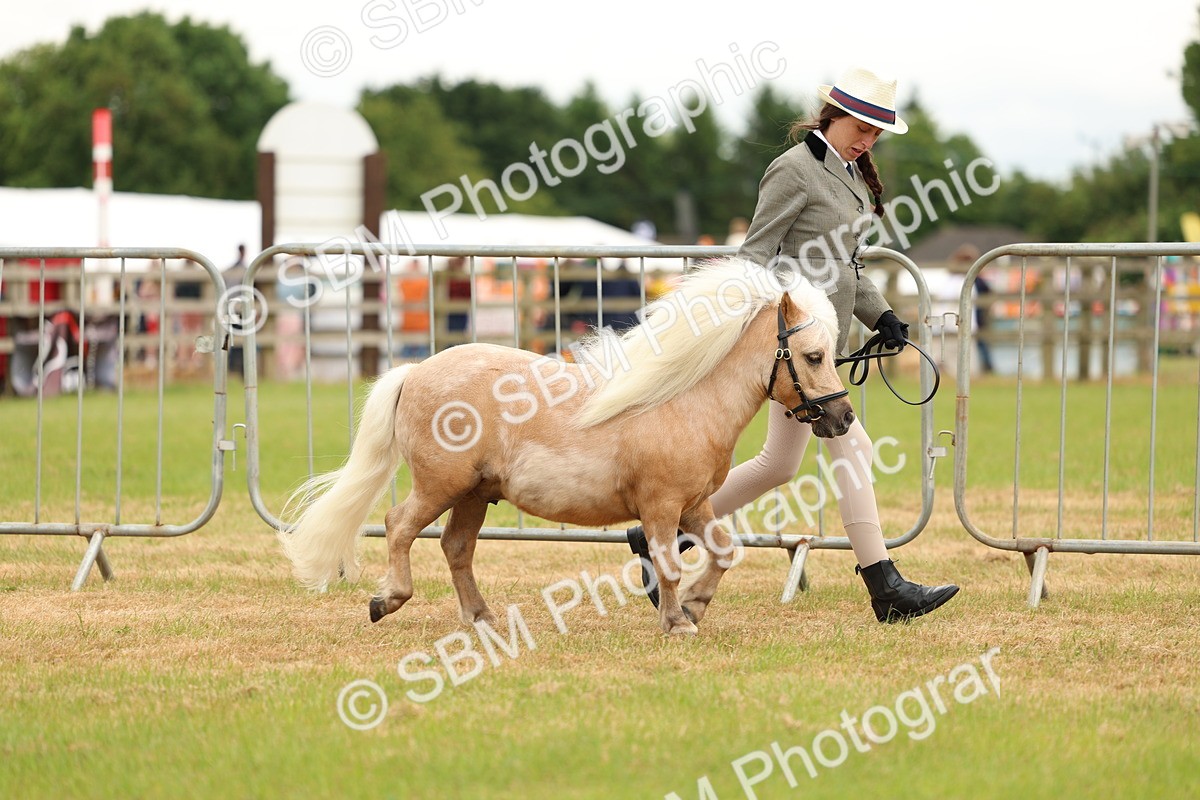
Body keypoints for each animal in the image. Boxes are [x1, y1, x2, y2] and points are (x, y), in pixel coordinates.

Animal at [279, 257, 854, 635]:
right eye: (813, 355)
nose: (844, 417)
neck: (684, 399)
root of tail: (416, 370)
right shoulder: (662, 507)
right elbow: (669, 562)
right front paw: (676, 621)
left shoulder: (695, 504)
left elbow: (725, 550)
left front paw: (693, 607)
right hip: (441, 485)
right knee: (399, 526)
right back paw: (388, 600)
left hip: (474, 495)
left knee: (456, 547)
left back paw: (482, 618)